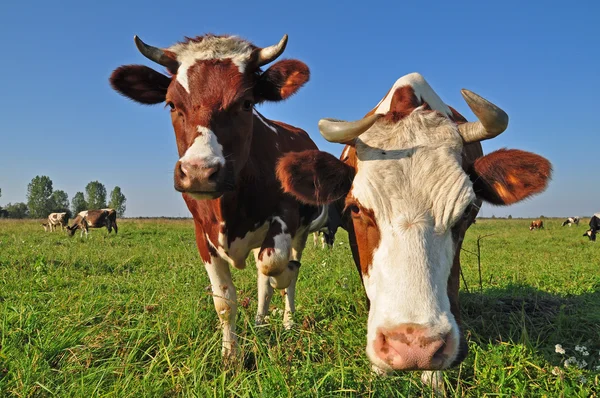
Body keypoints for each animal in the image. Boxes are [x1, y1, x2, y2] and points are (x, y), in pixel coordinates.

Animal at [110, 32, 330, 360]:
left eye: (247, 103)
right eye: (172, 104)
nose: (199, 171)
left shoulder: (286, 218)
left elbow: (275, 266)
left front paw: (286, 280)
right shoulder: (203, 234)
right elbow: (225, 301)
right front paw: (231, 356)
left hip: (302, 232)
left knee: (282, 273)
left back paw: (288, 319)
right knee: (262, 280)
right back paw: (260, 320)